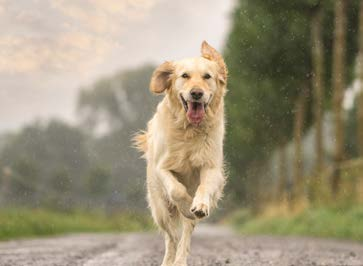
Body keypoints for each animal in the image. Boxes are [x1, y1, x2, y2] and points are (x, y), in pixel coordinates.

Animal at [134, 41, 228, 266]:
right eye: (184, 75)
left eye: (207, 76)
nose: (196, 93)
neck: (189, 130)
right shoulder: (161, 168)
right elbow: (176, 190)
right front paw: (186, 204)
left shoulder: (211, 167)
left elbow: (203, 188)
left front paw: (199, 204)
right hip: (160, 209)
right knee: (171, 237)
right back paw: (169, 260)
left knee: (185, 234)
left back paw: (180, 259)